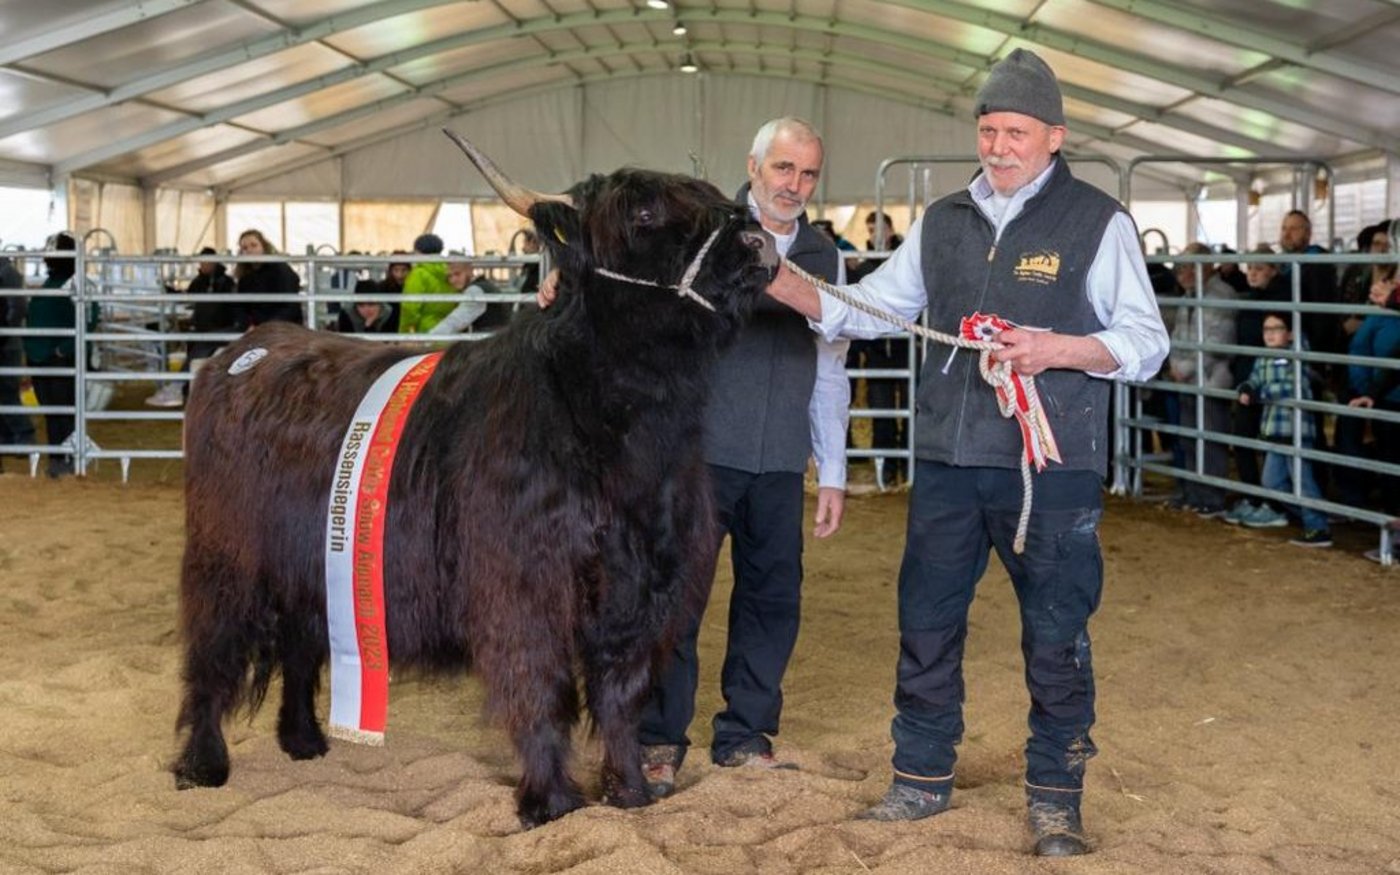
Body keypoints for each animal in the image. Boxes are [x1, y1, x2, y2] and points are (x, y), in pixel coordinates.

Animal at [172, 132, 779, 829]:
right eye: (644, 212)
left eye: (709, 195)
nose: (759, 241)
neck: (625, 432)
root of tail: (247, 346)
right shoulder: (523, 582)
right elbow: (542, 688)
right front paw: (551, 802)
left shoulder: (642, 583)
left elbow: (620, 695)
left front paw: (629, 791)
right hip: (228, 557)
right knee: (212, 651)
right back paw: (202, 764)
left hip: (311, 563)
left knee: (301, 641)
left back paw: (303, 740)